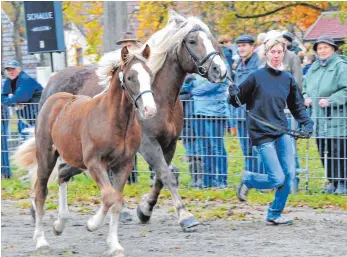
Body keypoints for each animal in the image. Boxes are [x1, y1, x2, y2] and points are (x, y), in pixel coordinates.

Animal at [31, 45, 156, 255]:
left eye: (151, 74)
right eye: (130, 77)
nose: (150, 110)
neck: (115, 122)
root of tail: (52, 100)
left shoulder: (124, 165)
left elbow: (116, 200)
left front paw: (114, 245)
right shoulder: (95, 163)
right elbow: (109, 196)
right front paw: (92, 224)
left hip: (75, 160)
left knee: (62, 174)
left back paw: (59, 224)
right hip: (46, 157)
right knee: (40, 192)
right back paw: (40, 241)